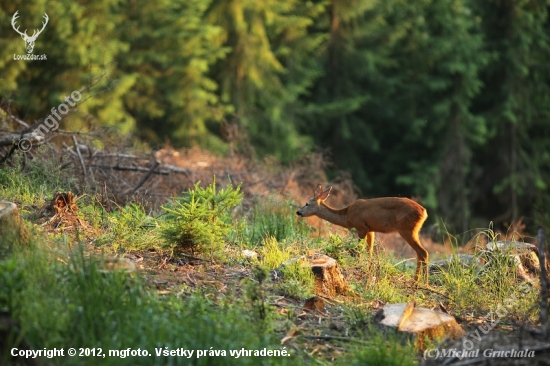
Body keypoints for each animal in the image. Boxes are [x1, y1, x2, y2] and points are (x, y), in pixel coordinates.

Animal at [298, 184, 432, 282]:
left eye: (307, 203)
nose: (298, 212)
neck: (347, 216)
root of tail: (424, 212)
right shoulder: (370, 230)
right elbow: (370, 251)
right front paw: (369, 270)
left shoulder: (360, 227)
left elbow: (358, 251)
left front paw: (358, 267)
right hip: (414, 230)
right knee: (419, 254)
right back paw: (416, 280)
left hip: (406, 229)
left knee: (423, 252)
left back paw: (423, 282)